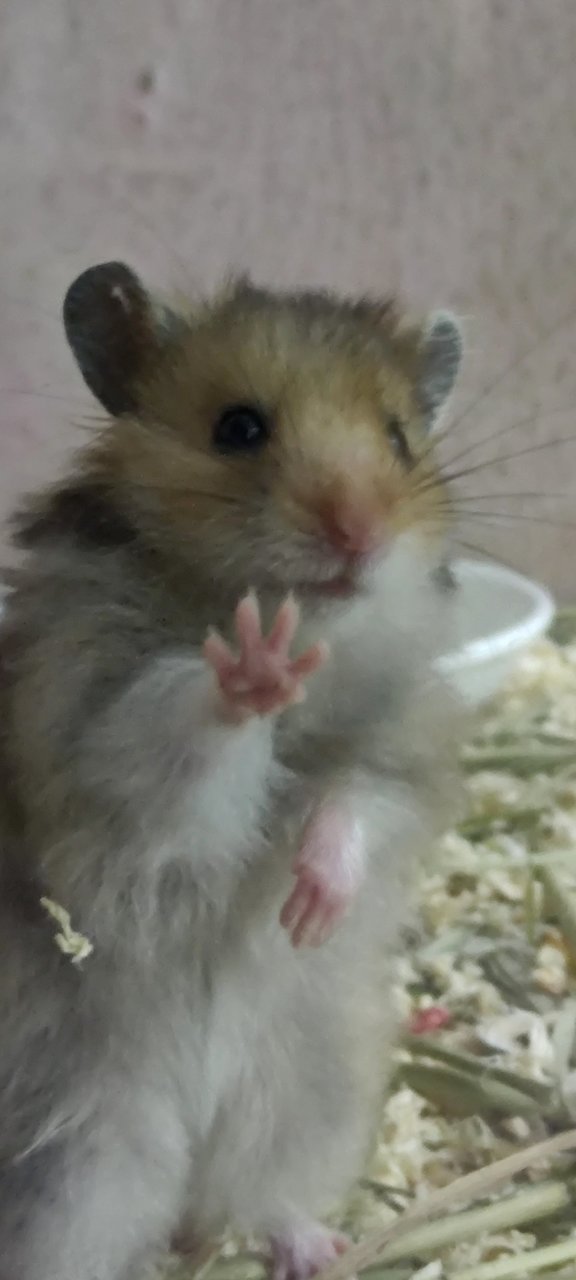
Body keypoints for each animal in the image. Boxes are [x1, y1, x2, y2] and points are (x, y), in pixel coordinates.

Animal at [0, 262, 468, 1280]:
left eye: (399, 439)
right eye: (239, 429)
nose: (359, 534)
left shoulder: (396, 741)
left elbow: (353, 801)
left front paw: (309, 909)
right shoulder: (108, 747)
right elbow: (185, 737)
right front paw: (256, 667)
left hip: (304, 1091)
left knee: (258, 1192)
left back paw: (318, 1249)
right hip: (79, 1143)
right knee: (77, 1227)